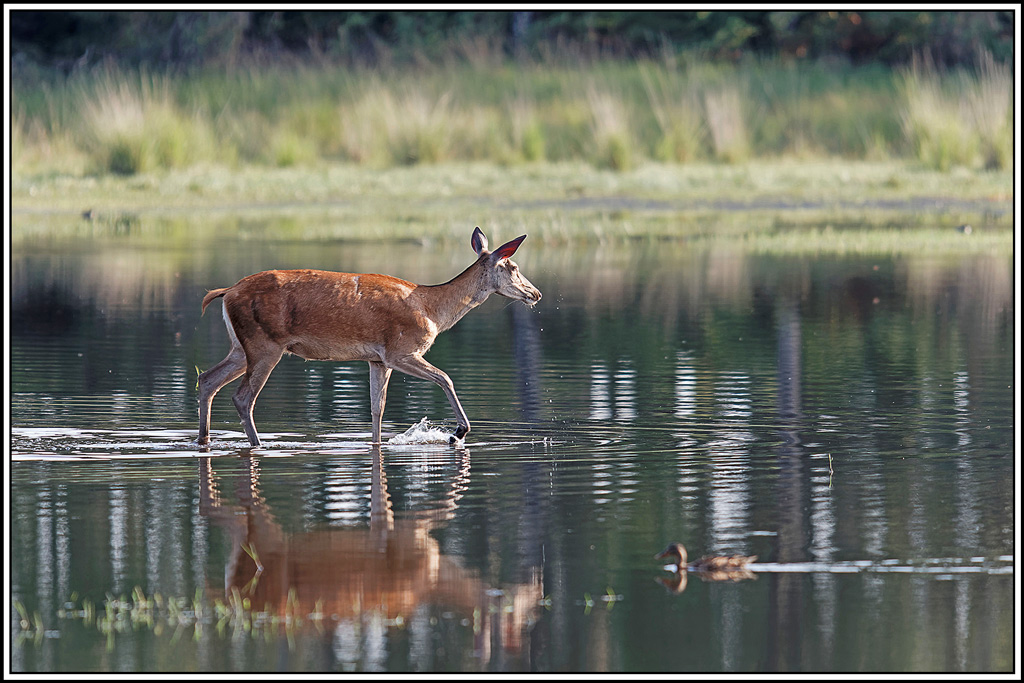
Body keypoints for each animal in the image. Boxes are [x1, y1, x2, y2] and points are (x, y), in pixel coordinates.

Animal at [197, 227, 542, 448]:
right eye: (513, 266)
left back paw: (204, 439)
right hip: (265, 344)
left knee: (207, 379)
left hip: (241, 347)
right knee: (243, 397)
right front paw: (458, 432)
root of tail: (227, 292)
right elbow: (446, 377)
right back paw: (257, 445)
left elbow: (378, 408)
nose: (535, 293)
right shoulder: (401, 350)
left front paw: (376, 444)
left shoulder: (378, 360)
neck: (432, 309)